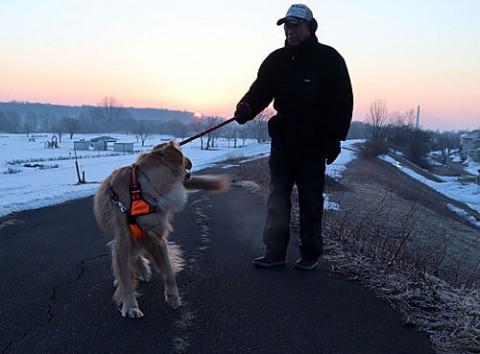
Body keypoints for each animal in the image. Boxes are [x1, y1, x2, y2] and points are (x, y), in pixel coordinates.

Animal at [94, 140, 230, 318]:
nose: (190, 162)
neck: (141, 189)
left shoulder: (156, 237)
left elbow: (169, 271)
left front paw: (173, 297)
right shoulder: (122, 241)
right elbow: (126, 279)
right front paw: (130, 306)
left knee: (135, 256)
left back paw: (143, 271)